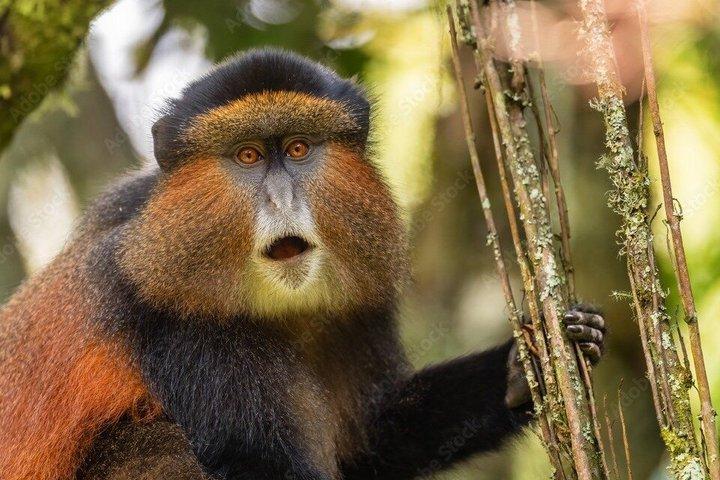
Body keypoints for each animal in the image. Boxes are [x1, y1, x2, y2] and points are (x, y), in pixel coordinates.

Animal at [0, 48, 606, 480]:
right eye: (247, 156)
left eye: (296, 148)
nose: (280, 199)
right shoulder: (170, 314)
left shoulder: (361, 303)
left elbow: (371, 442)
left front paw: (524, 367)